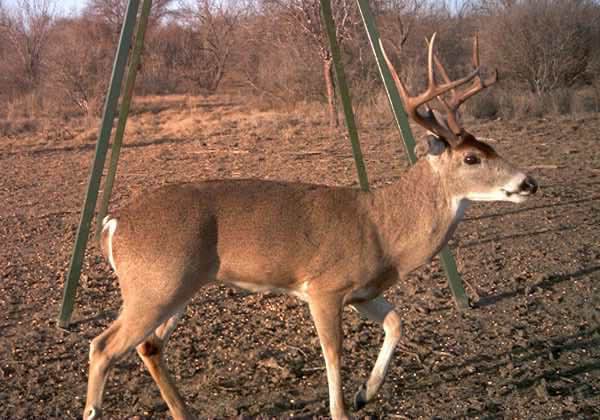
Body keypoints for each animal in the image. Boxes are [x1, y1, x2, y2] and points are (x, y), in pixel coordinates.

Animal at [82, 33, 536, 420]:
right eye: (471, 158)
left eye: (491, 145)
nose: (528, 182)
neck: (384, 230)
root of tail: (113, 223)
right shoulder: (324, 287)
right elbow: (333, 352)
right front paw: (342, 409)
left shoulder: (362, 291)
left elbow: (396, 321)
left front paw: (365, 393)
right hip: (154, 286)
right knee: (103, 346)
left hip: (178, 288)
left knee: (148, 345)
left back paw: (184, 412)